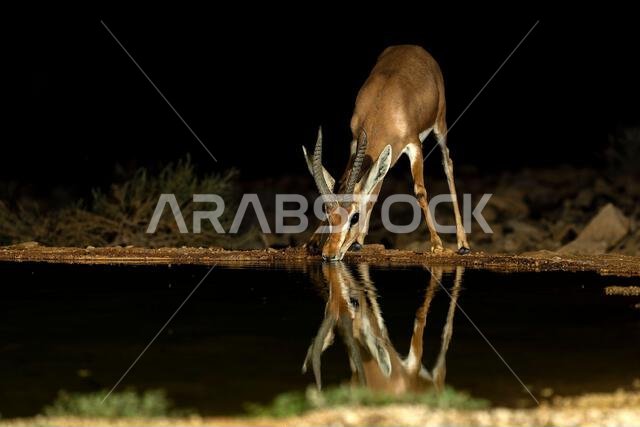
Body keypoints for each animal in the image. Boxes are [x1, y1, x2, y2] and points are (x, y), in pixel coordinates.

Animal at [303, 45, 470, 261]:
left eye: (354, 217)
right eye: (327, 212)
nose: (329, 254)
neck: (384, 106)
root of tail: (414, 47)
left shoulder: (414, 145)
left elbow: (420, 191)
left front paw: (437, 245)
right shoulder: (355, 143)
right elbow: (350, 184)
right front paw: (312, 242)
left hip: (440, 126)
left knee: (447, 162)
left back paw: (463, 244)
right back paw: (358, 241)